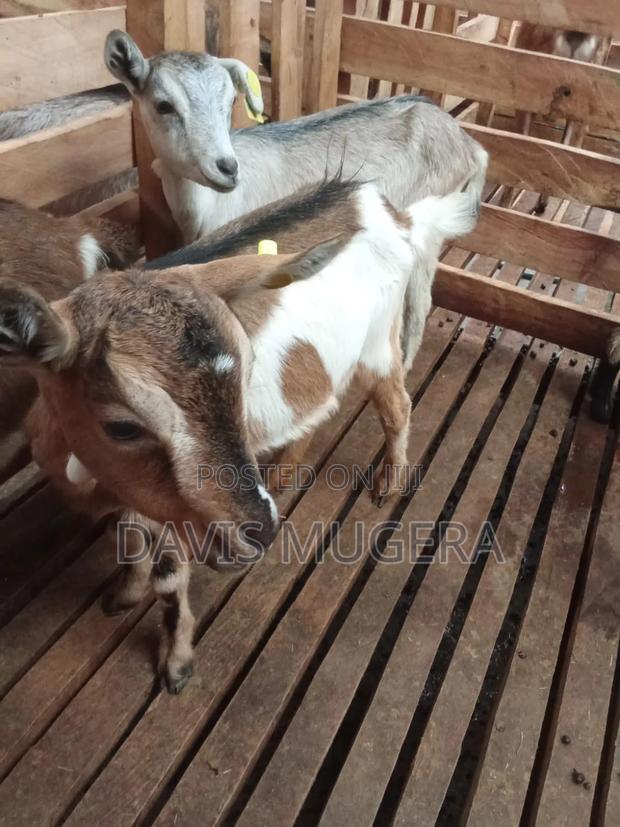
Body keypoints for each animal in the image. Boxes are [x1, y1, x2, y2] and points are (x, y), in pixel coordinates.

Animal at [2, 182, 478, 693]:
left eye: (246, 374)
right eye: (122, 426)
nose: (260, 530)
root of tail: (393, 214)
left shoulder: (175, 515)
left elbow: (168, 579)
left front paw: (176, 664)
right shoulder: (139, 495)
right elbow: (130, 538)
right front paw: (124, 595)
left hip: (378, 346)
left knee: (396, 406)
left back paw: (388, 484)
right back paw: (286, 473)